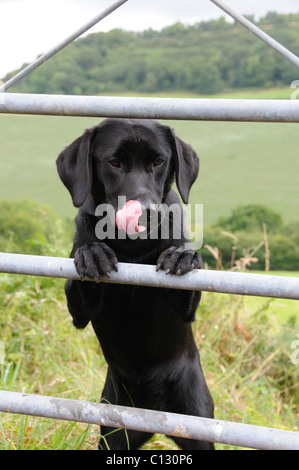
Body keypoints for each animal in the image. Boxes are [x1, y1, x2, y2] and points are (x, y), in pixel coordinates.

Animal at [56, 116, 216, 448]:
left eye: (158, 161)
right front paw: (92, 253)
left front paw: (183, 255)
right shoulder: (79, 313)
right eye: (114, 162)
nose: (145, 212)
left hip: (197, 425)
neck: (132, 246)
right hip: (114, 434)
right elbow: (79, 275)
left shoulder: (186, 309)